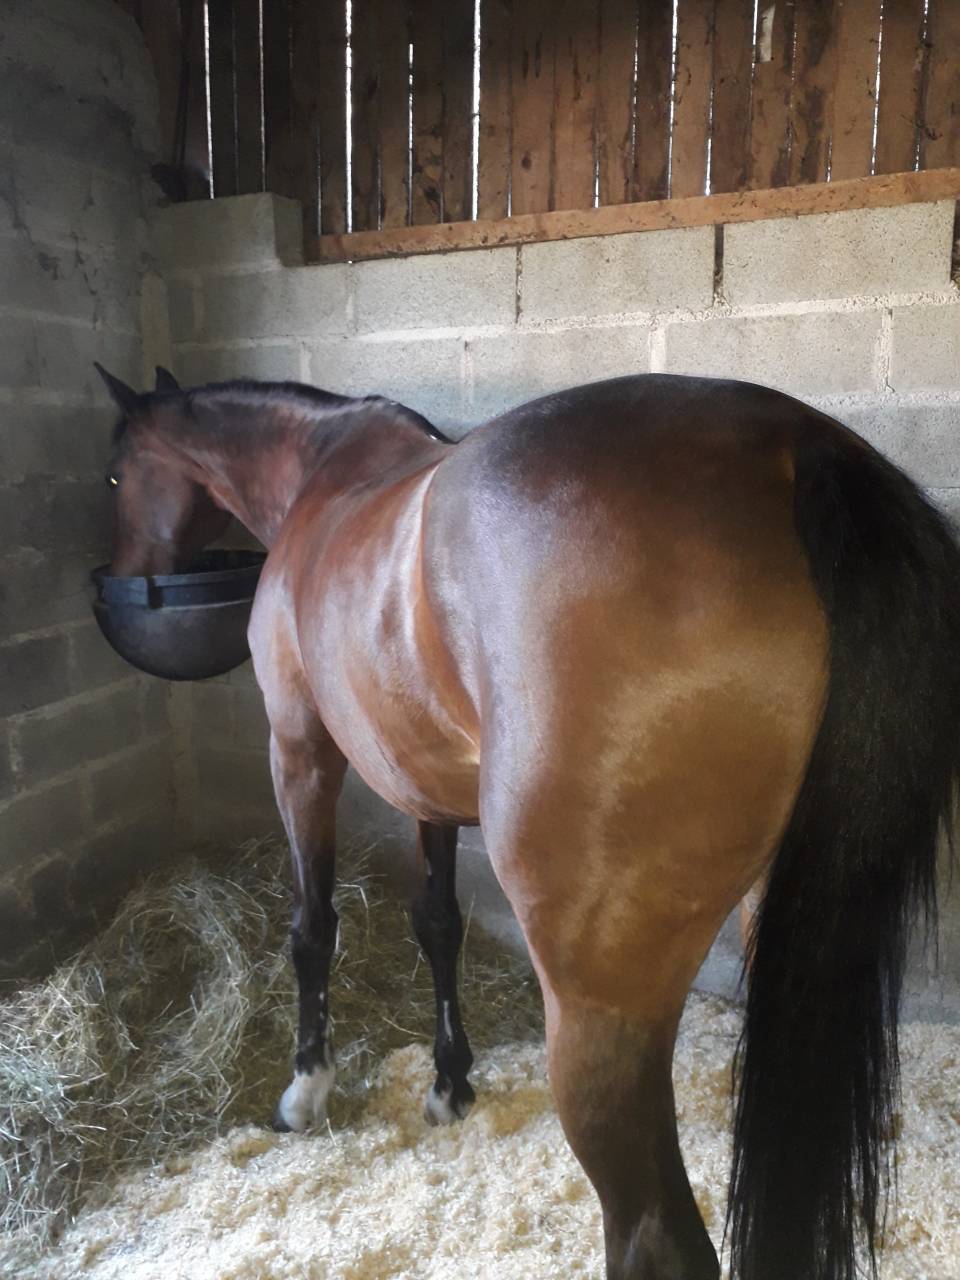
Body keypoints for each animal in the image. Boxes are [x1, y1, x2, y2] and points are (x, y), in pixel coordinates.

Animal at [93, 362, 960, 1280]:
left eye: (115, 476)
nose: (124, 573)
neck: (318, 475)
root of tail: (795, 445)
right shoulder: (428, 784)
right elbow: (438, 922)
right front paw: (449, 1084)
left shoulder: (298, 747)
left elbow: (312, 926)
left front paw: (306, 1089)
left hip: (596, 1013)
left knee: (653, 1232)